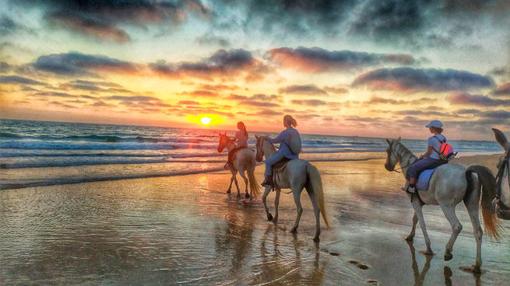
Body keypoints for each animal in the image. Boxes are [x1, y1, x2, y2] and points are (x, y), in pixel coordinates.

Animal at [386, 138, 498, 272]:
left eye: (387, 151)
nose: (387, 166)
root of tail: (466, 171)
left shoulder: (415, 202)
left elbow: (422, 224)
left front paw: (428, 248)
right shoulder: (418, 202)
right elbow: (415, 220)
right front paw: (410, 236)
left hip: (446, 206)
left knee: (457, 226)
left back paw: (448, 252)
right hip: (472, 205)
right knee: (478, 231)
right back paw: (476, 265)